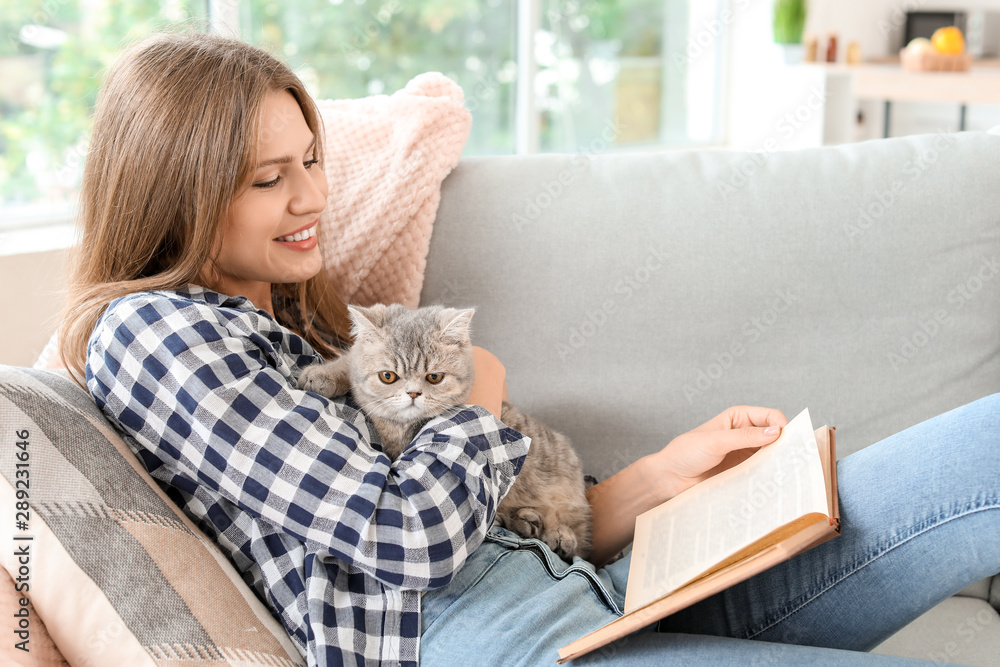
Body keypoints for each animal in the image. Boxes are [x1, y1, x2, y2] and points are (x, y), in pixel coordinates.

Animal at [296, 306, 592, 560]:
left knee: (576, 537)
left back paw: (558, 536)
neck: (399, 428)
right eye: (388, 376)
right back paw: (527, 521)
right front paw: (324, 375)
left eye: (434, 377)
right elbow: (350, 362)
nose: (413, 393)